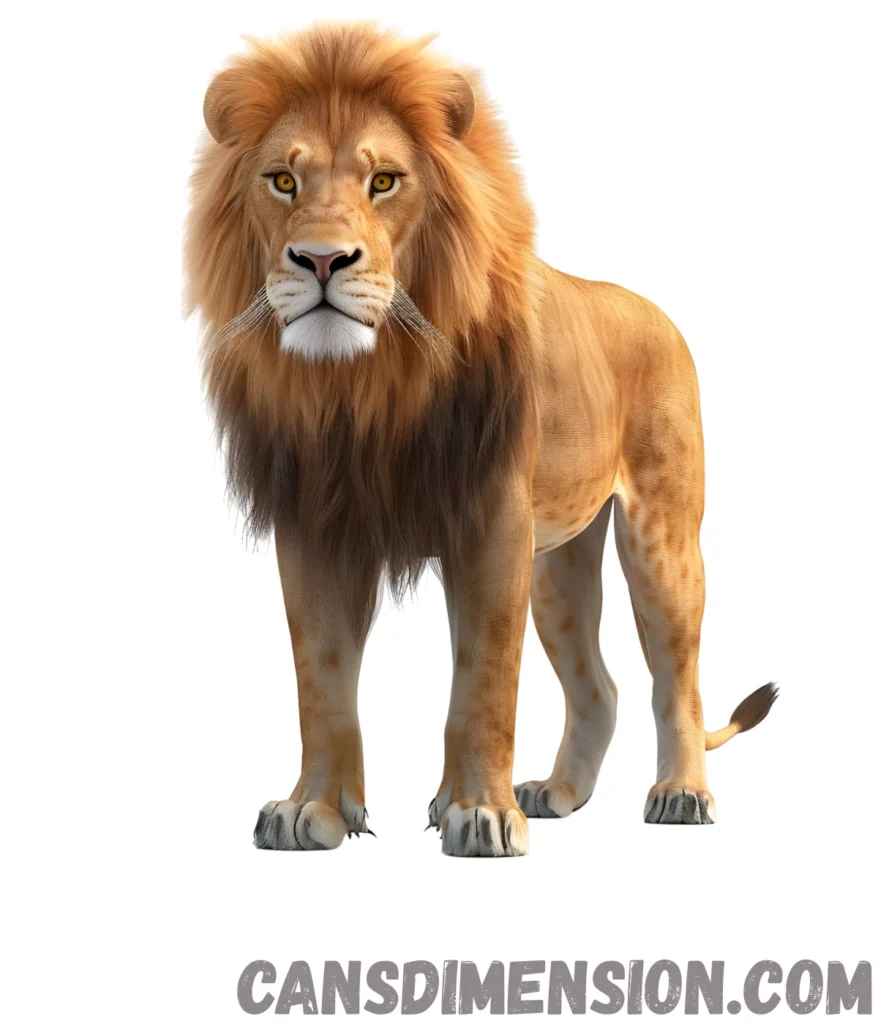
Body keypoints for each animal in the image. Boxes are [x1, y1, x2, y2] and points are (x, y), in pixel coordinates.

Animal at [185, 23, 777, 856]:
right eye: (282, 181)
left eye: (385, 181)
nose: (322, 260)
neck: (365, 388)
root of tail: (654, 310)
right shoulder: (316, 526)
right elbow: (321, 679)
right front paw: (314, 810)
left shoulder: (493, 526)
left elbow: (484, 681)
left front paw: (481, 814)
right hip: (560, 569)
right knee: (600, 686)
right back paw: (555, 793)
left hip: (660, 540)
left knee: (677, 680)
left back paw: (681, 793)